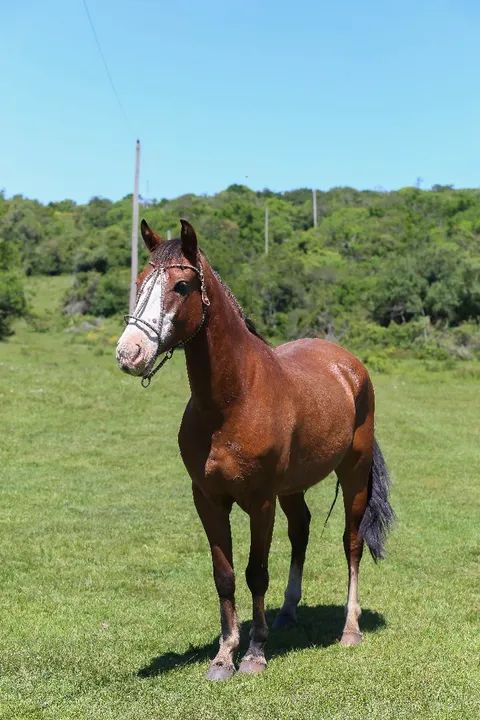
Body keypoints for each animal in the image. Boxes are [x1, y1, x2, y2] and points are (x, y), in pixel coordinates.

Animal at [116, 219, 394, 680]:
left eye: (182, 286)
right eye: (139, 282)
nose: (129, 352)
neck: (232, 401)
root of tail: (349, 365)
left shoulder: (260, 501)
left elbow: (256, 572)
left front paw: (254, 654)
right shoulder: (208, 499)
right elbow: (224, 575)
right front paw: (223, 655)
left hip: (353, 475)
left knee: (351, 543)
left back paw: (350, 630)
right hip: (293, 487)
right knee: (301, 530)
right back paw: (287, 613)